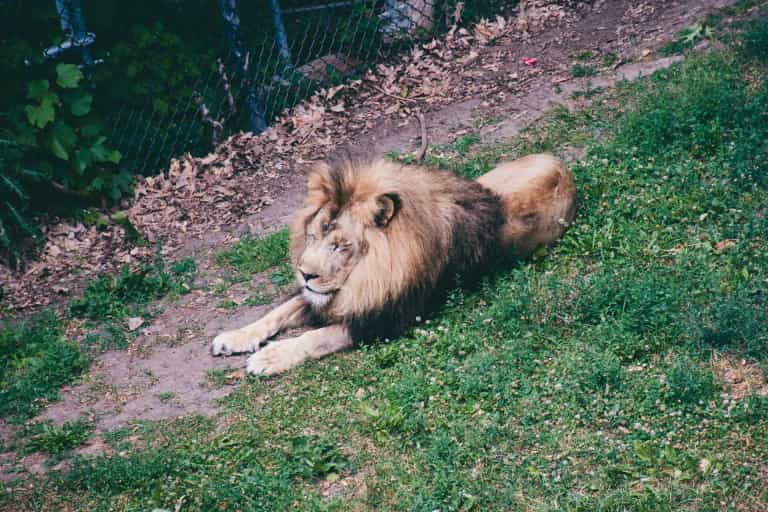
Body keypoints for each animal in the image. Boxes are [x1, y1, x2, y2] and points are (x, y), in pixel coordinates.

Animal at [211, 154, 576, 375]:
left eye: (341, 246)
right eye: (313, 236)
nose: (304, 274)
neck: (367, 275)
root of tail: (558, 162)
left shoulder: (386, 320)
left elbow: (317, 337)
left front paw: (269, 356)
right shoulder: (331, 297)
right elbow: (277, 312)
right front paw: (234, 337)